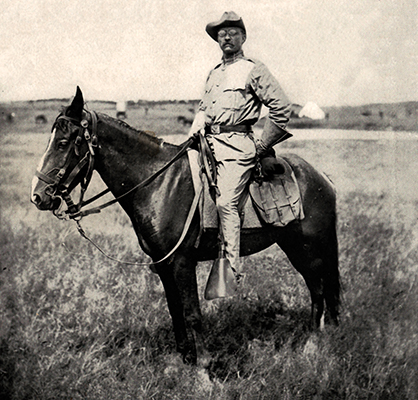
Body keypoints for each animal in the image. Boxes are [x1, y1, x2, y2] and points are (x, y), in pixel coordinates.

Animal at [31, 87, 340, 365]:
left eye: (63, 143)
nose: (38, 196)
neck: (158, 183)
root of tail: (320, 176)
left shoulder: (182, 262)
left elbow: (192, 313)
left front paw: (203, 368)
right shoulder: (163, 263)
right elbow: (175, 310)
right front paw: (185, 358)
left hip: (307, 249)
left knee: (318, 289)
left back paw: (312, 345)